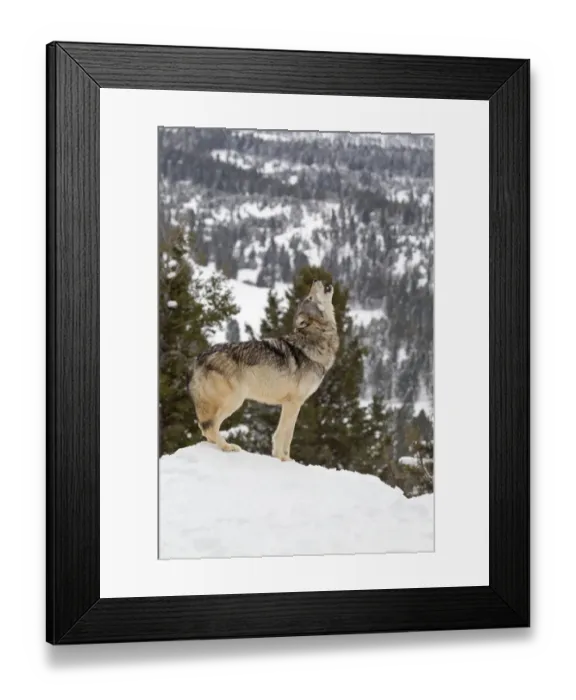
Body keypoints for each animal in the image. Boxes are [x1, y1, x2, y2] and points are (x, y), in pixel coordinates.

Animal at [188, 280, 339, 461]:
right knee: (210, 427)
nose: (316, 280)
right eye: (309, 297)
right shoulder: (294, 403)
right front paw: (283, 459)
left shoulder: (288, 403)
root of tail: (200, 358)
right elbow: (286, 435)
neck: (315, 340)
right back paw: (228, 447)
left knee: (206, 430)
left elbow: (283, 434)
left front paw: (283, 458)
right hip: (235, 400)